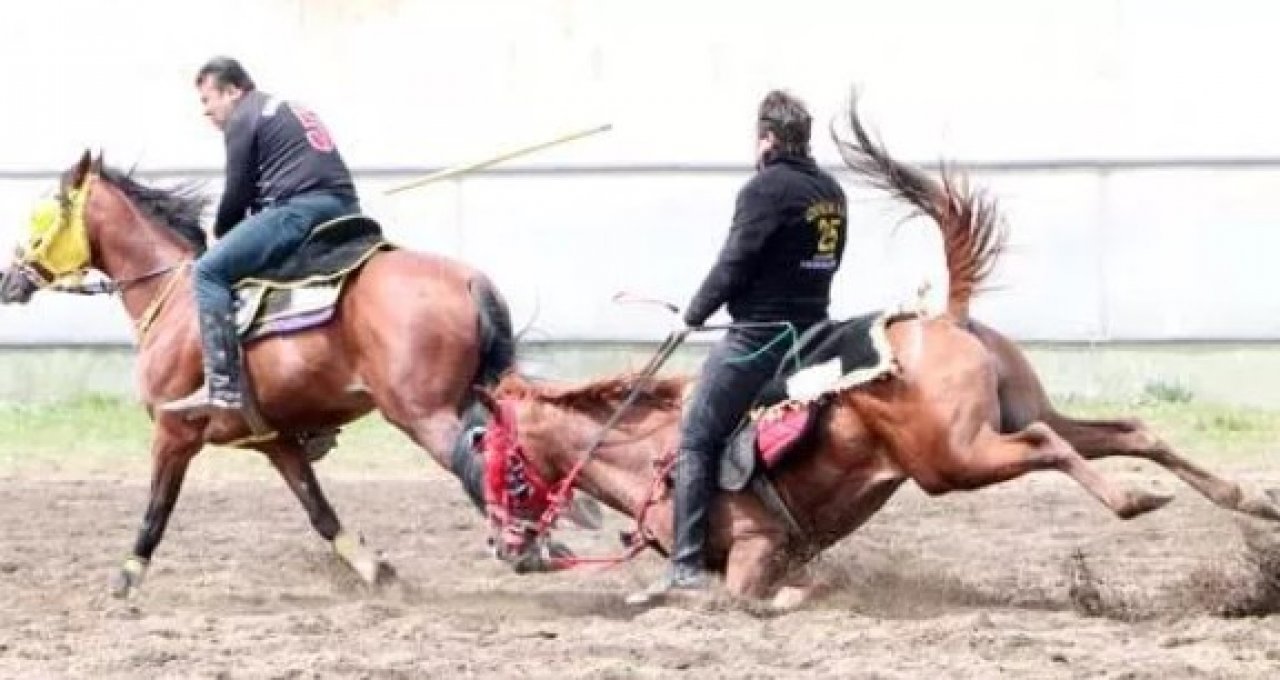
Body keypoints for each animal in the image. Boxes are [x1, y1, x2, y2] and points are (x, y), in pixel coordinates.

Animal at [3, 153, 519, 596]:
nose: (10, 280)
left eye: (40, 218)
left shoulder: (174, 432)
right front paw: (375, 570)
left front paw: (127, 576)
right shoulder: (276, 440)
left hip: (423, 414)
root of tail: (469, 280)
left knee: (480, 466)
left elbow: (157, 508)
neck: (177, 298)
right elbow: (319, 510)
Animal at [468, 97, 1280, 607]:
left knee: (1051, 447)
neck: (648, 450)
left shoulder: (756, 549)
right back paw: (1245, 499)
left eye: (499, 459)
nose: (507, 547)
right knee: (1124, 432)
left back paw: (1134, 501)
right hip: (1017, 414)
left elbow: (734, 592)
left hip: (957, 458)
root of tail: (946, 316)